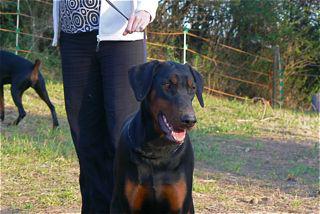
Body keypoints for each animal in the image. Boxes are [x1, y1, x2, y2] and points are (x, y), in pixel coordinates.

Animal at [110, 61, 205, 213]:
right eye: (167, 84)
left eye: (193, 88)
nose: (189, 120)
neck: (158, 148)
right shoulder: (125, 205)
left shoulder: (180, 206)